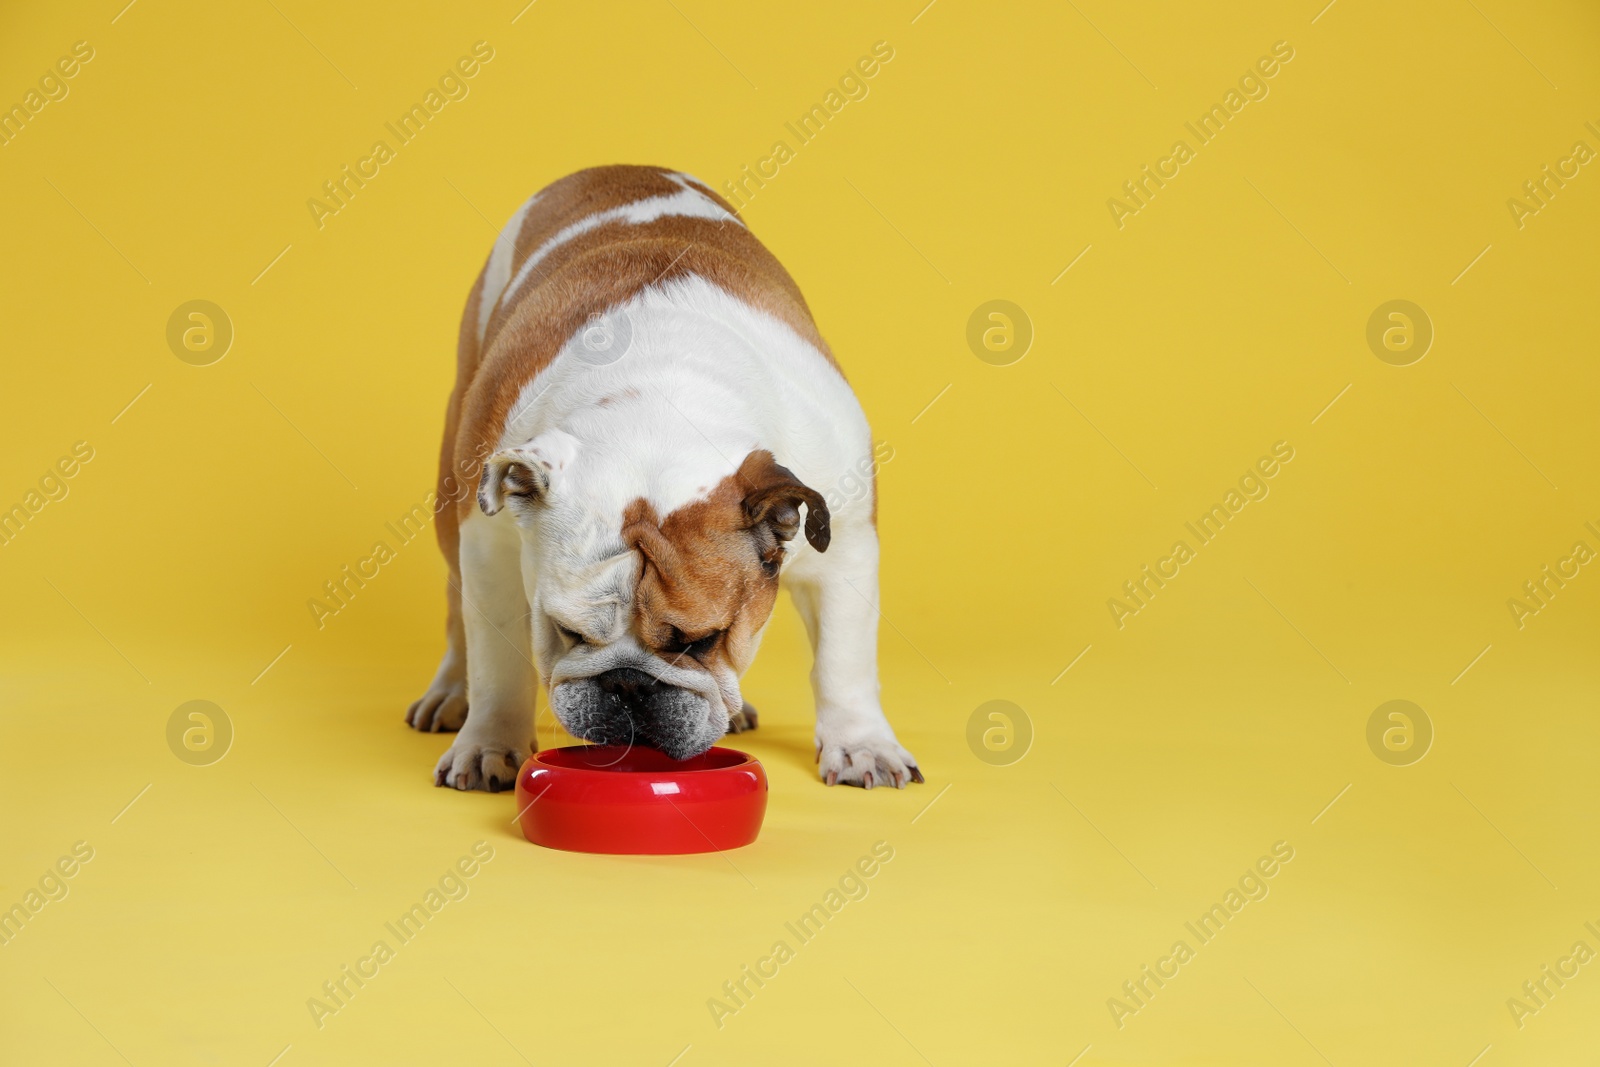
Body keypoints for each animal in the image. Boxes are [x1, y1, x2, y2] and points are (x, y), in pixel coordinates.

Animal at [406, 164, 921, 793]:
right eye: (567, 632)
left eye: (703, 641)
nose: (629, 683)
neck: (657, 413)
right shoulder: (490, 548)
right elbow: (498, 660)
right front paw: (489, 744)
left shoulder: (845, 542)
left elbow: (842, 661)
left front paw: (863, 744)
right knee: (459, 615)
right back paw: (450, 695)